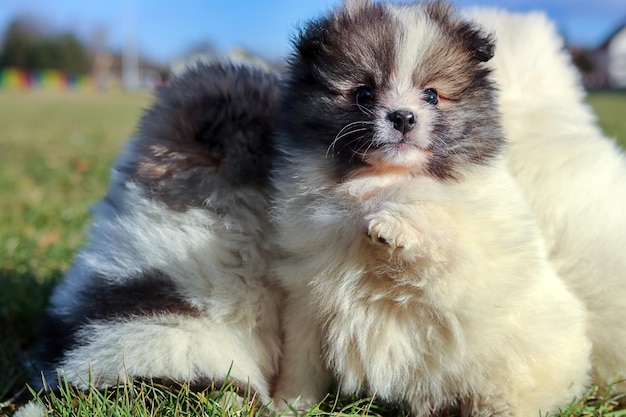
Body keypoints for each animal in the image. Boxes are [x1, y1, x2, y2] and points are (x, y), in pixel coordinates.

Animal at [270, 1, 588, 414]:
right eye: (364, 94)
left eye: (433, 95)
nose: (402, 117)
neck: (385, 175)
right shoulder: (308, 298)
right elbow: (301, 362)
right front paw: (287, 403)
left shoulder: (463, 264)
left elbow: (431, 215)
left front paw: (387, 226)